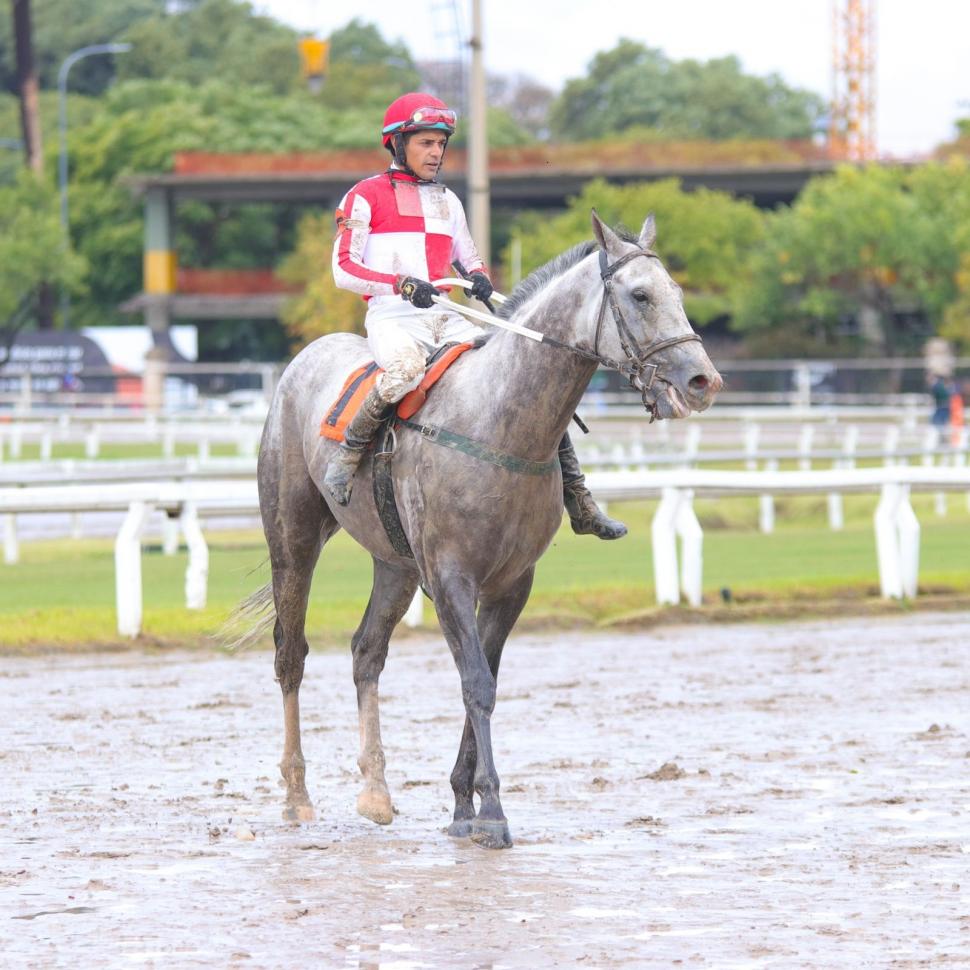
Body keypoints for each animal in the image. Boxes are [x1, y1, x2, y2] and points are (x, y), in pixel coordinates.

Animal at [250, 212, 720, 848]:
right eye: (641, 295)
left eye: (678, 293)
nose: (703, 380)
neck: (498, 423)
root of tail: (304, 360)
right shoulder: (450, 577)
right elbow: (475, 682)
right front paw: (491, 811)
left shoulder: (511, 583)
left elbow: (487, 678)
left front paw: (462, 805)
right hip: (293, 538)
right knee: (290, 655)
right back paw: (297, 795)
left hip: (394, 562)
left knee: (367, 652)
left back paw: (376, 792)